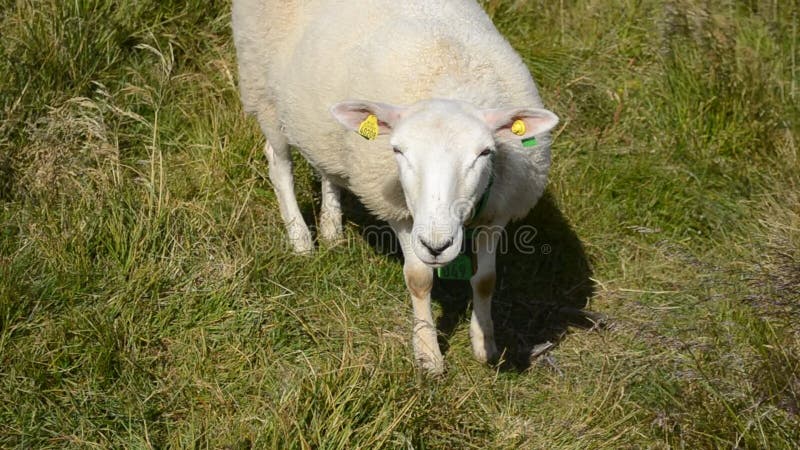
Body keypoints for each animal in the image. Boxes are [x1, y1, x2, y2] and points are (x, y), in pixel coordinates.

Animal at [230, 0, 556, 372]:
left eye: (485, 152)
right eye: (398, 151)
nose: (436, 245)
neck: (448, 81)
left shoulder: (498, 210)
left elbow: (486, 281)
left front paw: (484, 345)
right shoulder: (399, 211)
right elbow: (419, 279)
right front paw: (428, 354)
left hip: (319, 124)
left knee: (328, 168)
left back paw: (331, 229)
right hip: (263, 90)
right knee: (278, 162)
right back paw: (300, 239)